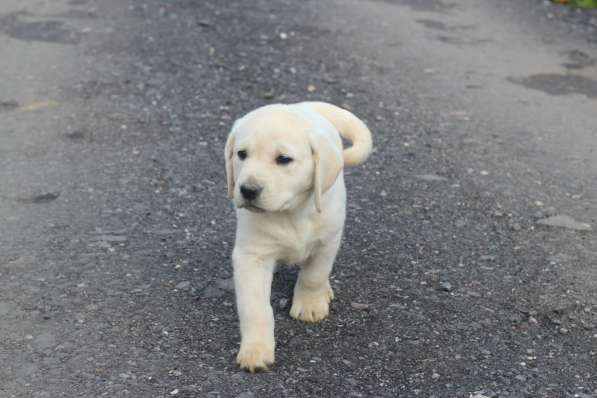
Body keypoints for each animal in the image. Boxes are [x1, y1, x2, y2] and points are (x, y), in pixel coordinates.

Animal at [225, 101, 370, 372]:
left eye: (284, 159)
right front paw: (255, 349)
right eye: (241, 154)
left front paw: (310, 304)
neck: (291, 212)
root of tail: (302, 105)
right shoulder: (251, 256)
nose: (248, 190)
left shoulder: (328, 241)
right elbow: (255, 307)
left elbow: (314, 275)